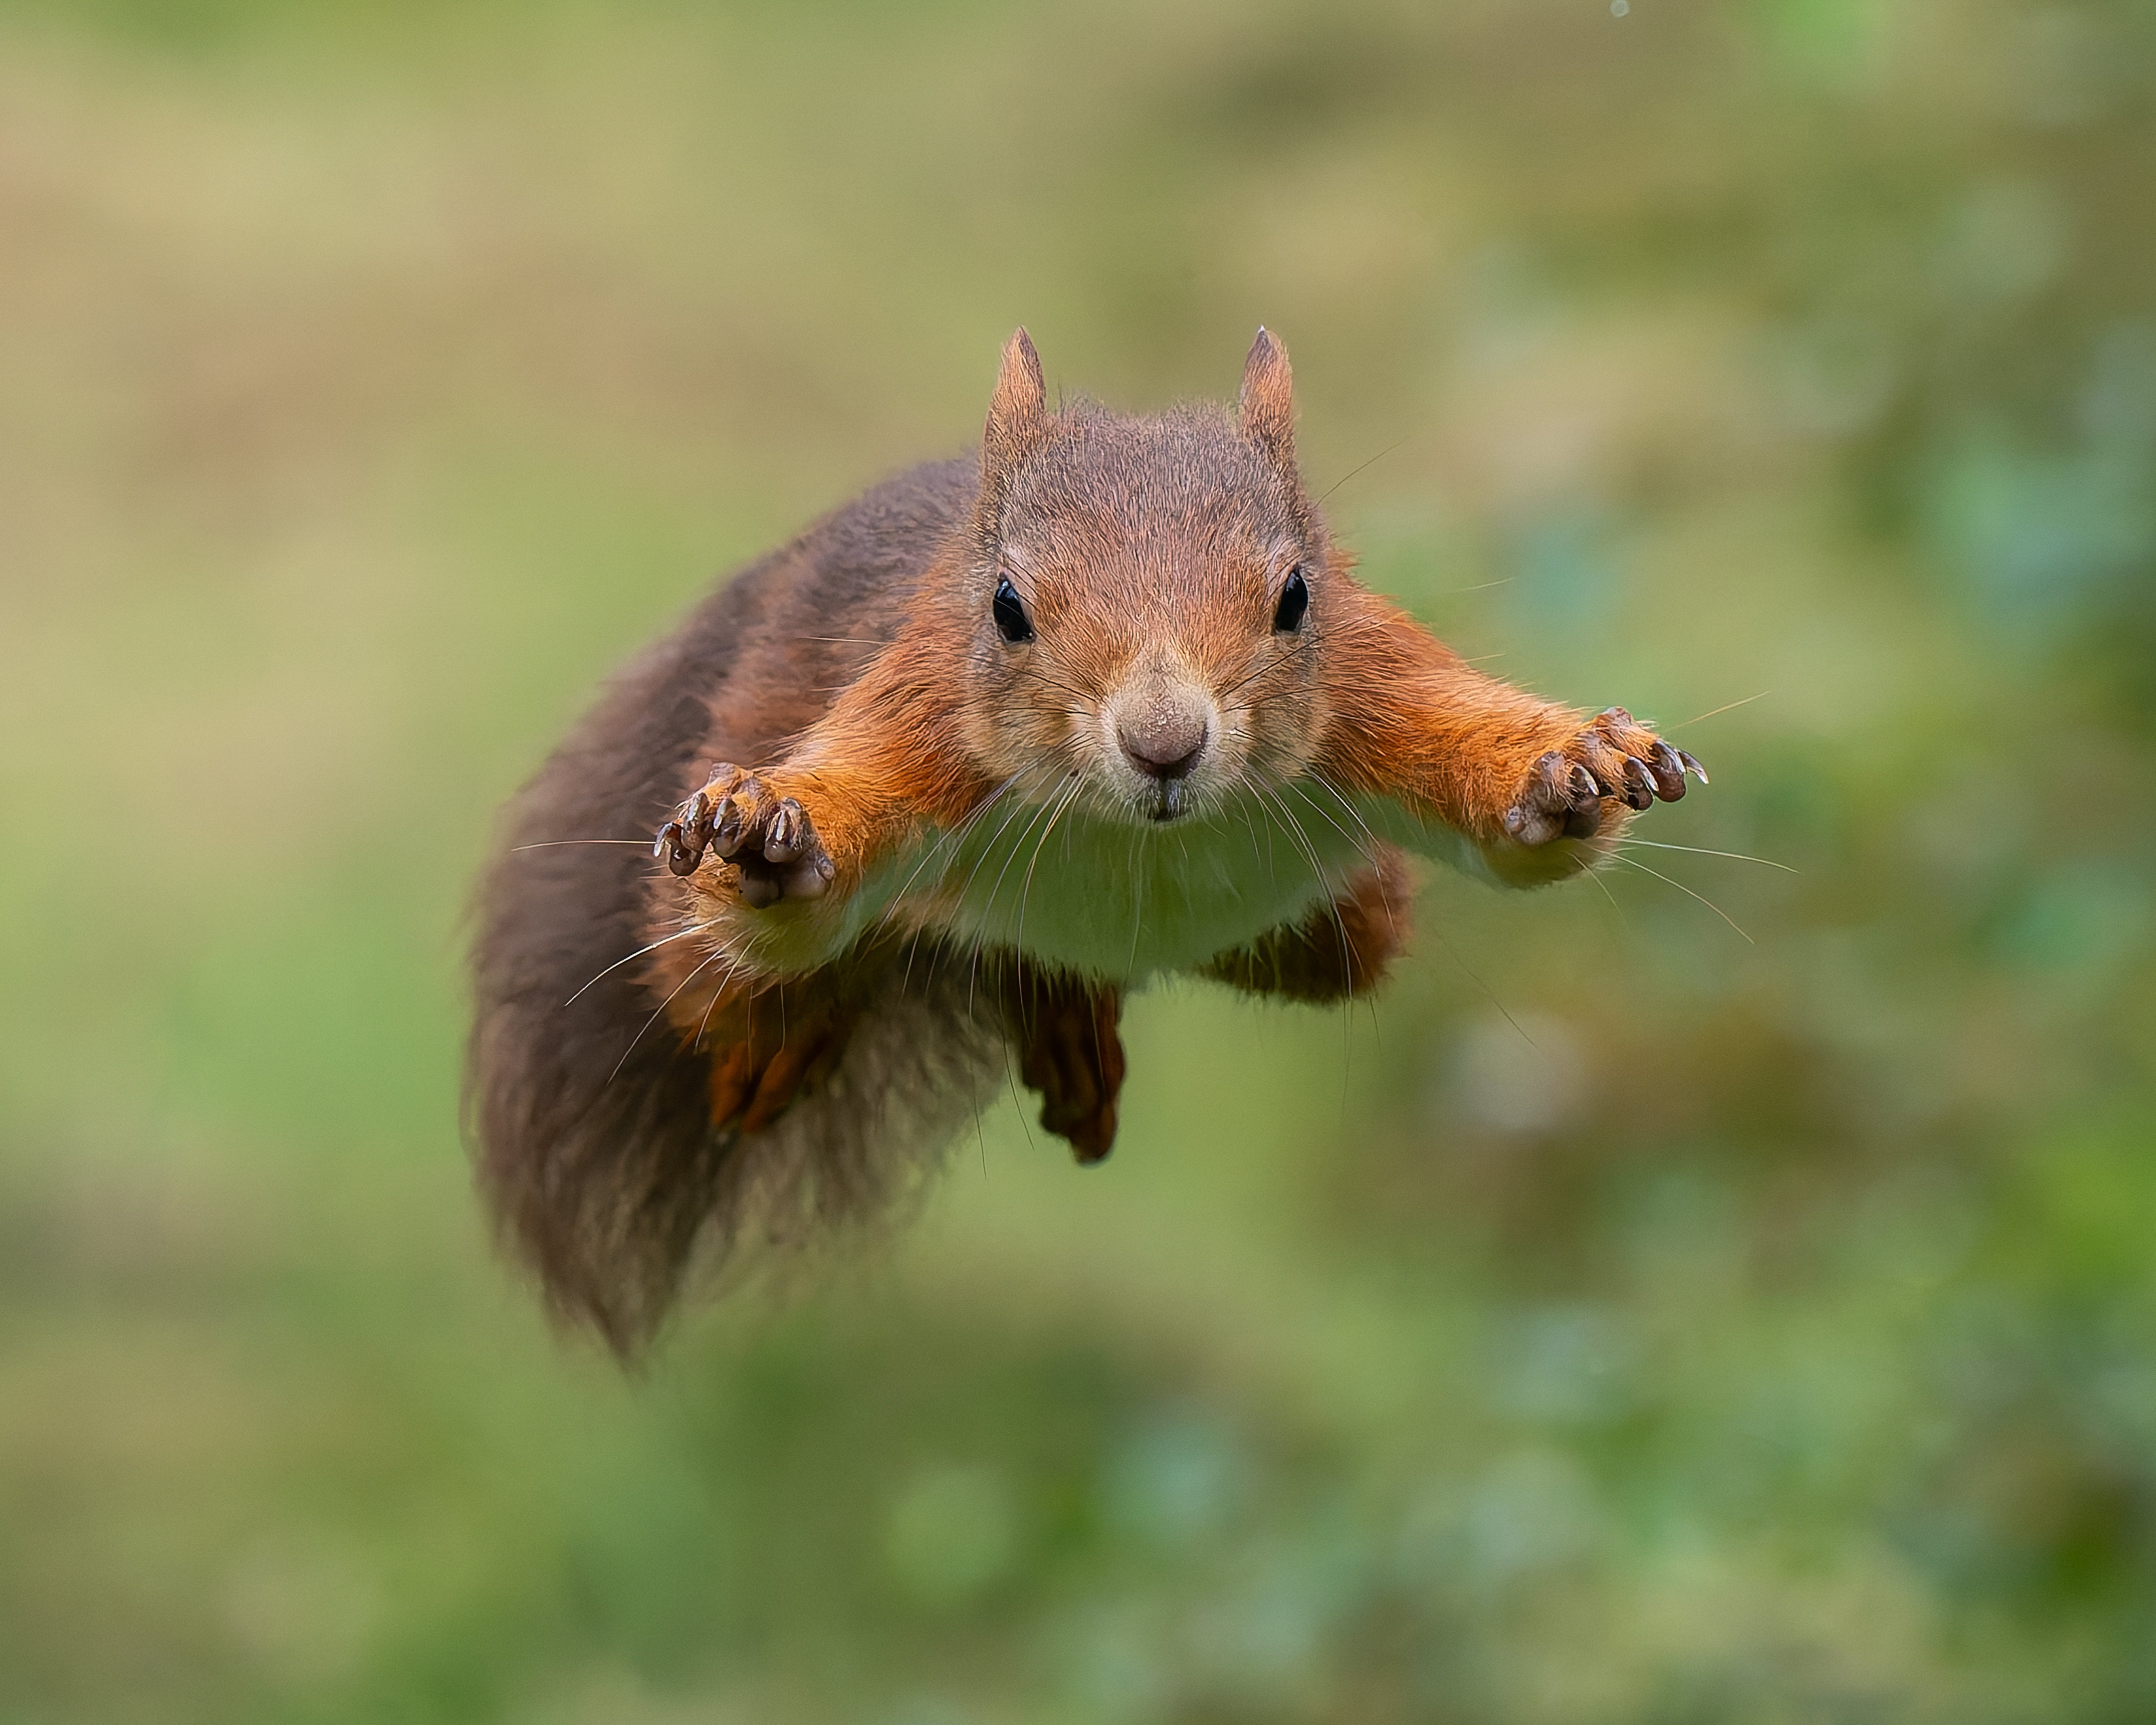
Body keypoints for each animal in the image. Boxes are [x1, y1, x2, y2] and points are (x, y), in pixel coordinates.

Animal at [466, 328, 1704, 1353]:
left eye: (1296, 594)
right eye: (1007, 607)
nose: (1164, 743)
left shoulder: (1370, 674)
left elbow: (1473, 766)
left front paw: (1567, 769)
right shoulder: (920, 710)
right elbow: (829, 826)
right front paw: (773, 841)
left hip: (1338, 924)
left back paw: (1062, 1015)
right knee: (721, 977)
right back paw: (804, 1028)